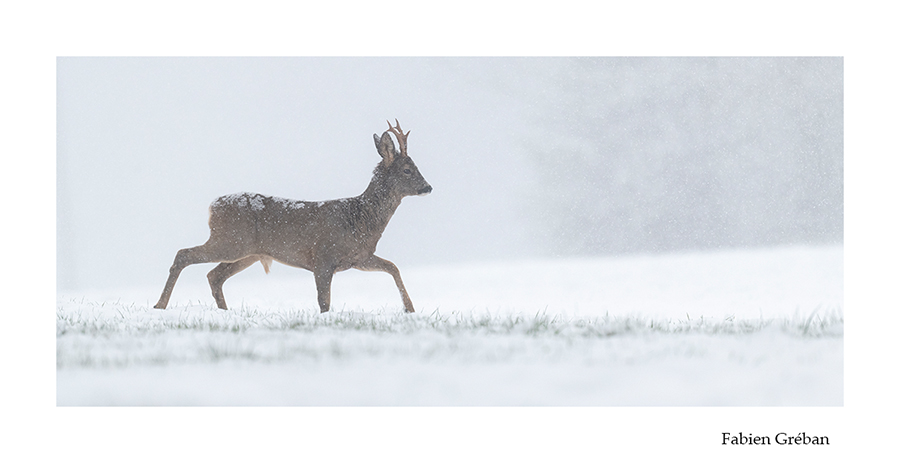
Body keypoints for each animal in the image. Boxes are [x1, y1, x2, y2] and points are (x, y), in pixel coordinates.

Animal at [152, 121, 432, 314]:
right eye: (407, 170)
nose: (428, 187)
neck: (358, 219)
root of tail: (212, 207)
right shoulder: (323, 256)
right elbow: (324, 301)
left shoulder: (359, 257)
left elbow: (393, 267)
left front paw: (410, 309)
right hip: (230, 241)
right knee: (184, 255)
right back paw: (159, 305)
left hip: (246, 252)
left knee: (214, 275)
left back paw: (224, 311)